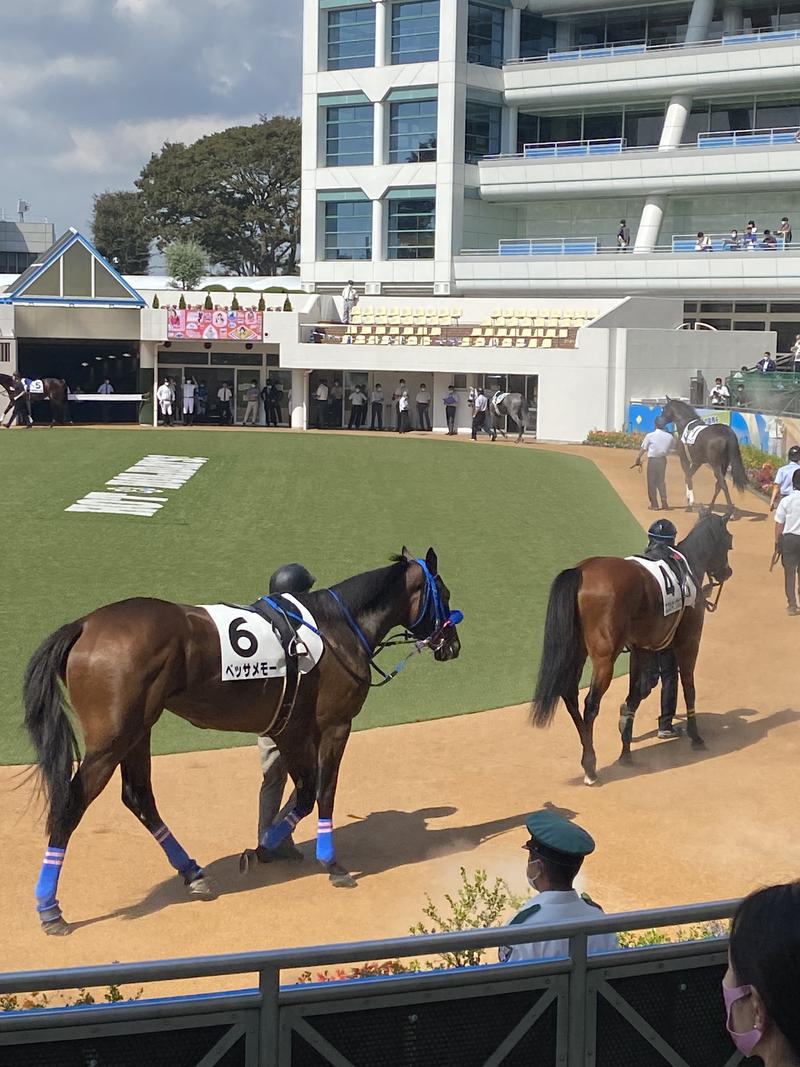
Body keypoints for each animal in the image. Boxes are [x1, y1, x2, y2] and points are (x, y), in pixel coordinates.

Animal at [23, 550, 462, 934]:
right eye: (445, 593)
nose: (453, 645)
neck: (336, 625)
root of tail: (84, 625)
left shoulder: (291, 729)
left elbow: (301, 793)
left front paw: (267, 846)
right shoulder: (335, 725)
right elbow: (321, 792)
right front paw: (329, 863)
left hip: (138, 730)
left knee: (139, 797)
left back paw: (193, 873)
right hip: (112, 739)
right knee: (72, 803)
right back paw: (49, 908)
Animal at [533, 512, 733, 789]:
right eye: (728, 541)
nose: (727, 571)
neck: (686, 564)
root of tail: (581, 571)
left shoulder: (641, 649)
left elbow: (634, 696)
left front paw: (626, 750)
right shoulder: (689, 642)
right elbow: (688, 687)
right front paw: (696, 736)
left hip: (577, 650)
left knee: (570, 694)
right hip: (604, 657)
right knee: (590, 704)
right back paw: (590, 766)